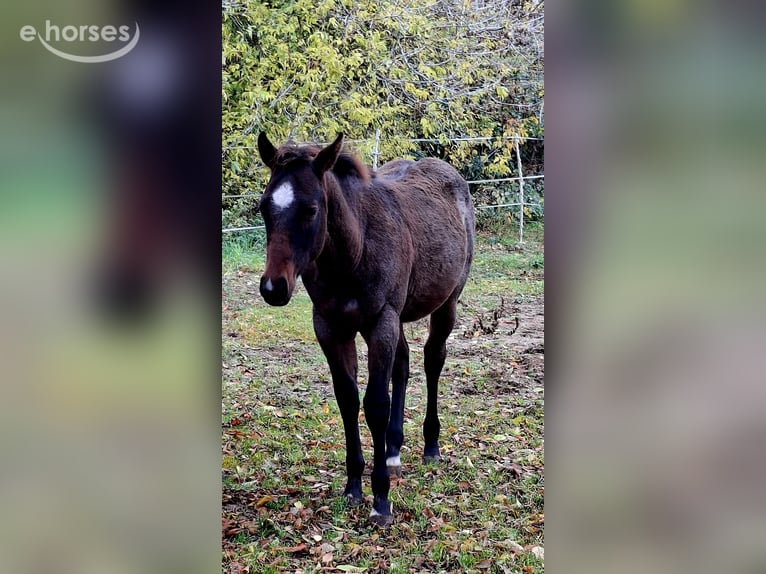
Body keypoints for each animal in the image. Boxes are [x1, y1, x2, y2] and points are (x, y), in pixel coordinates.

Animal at [256, 132, 475, 526]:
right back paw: (392, 450)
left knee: (433, 360)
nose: (273, 288)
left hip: (446, 303)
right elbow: (348, 399)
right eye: (265, 208)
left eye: (311, 209)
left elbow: (375, 403)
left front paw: (381, 500)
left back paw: (430, 445)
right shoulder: (330, 327)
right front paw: (353, 486)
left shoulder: (380, 322)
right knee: (402, 365)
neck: (353, 252)